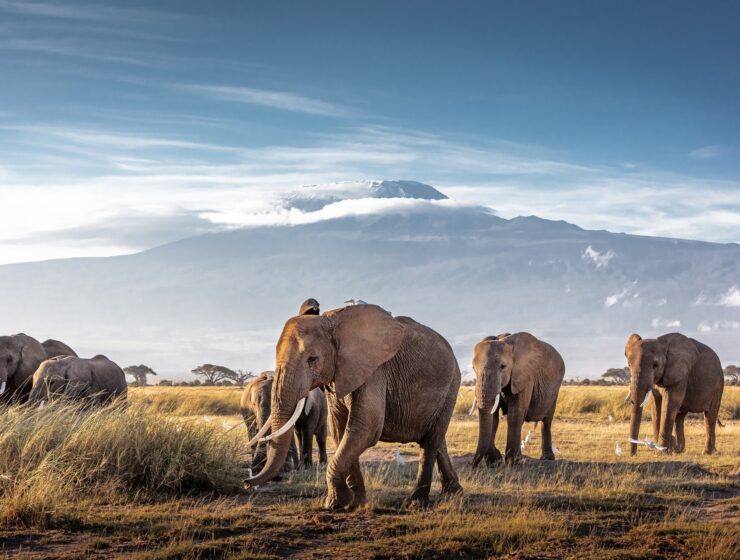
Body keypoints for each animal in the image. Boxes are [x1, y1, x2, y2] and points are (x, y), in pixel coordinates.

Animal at [243, 304, 462, 510]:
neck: (331, 321)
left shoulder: (375, 371)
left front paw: (335, 504)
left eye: (312, 359)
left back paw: (416, 503)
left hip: (452, 385)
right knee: (436, 439)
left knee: (431, 441)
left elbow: (365, 427)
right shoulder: (338, 375)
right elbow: (341, 429)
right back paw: (454, 493)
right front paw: (356, 503)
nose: (246, 483)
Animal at [474, 330, 568, 466]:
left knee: (547, 421)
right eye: (473, 369)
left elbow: (515, 414)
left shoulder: (525, 377)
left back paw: (547, 458)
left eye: (503, 366)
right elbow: (494, 417)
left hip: (555, 389)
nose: (473, 466)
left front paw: (513, 462)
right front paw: (495, 462)